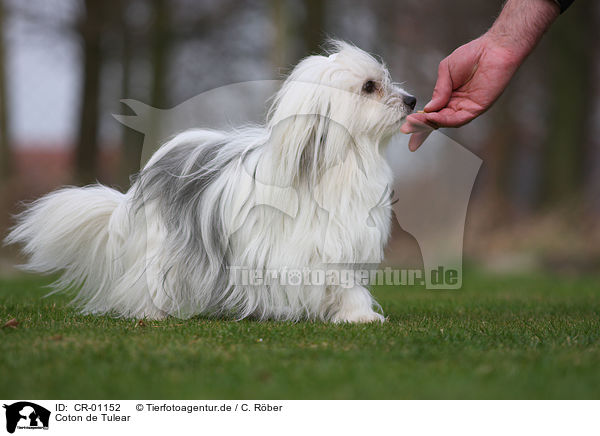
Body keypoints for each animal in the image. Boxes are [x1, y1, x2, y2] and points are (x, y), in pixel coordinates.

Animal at [5, 41, 418, 322]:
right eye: (369, 86)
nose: (412, 99)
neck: (342, 162)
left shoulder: (343, 243)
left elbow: (347, 284)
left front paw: (358, 315)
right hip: (163, 244)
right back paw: (151, 312)